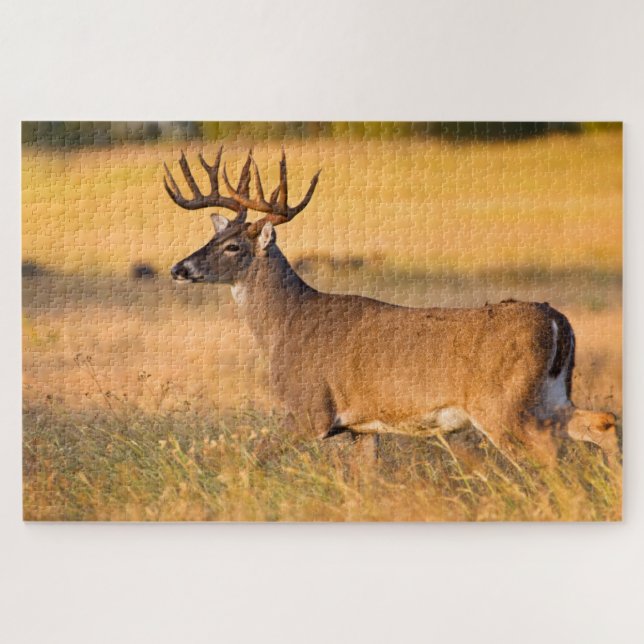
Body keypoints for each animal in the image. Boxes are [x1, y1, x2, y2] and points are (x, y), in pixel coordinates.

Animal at [163, 146, 620, 466]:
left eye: (232, 246)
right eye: (212, 238)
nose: (179, 268)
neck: (287, 324)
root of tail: (558, 321)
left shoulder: (311, 409)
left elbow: (250, 459)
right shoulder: (362, 428)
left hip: (502, 403)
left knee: (547, 450)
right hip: (549, 393)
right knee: (601, 422)